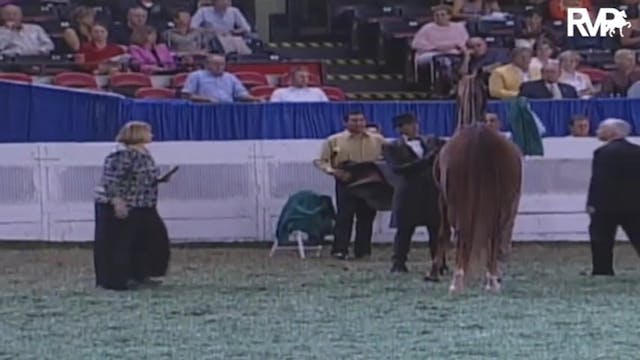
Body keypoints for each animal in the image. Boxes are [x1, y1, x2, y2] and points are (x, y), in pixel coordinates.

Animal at [430, 76, 520, 292]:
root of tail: (479, 137)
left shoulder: (442, 200)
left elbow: (443, 232)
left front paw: (435, 270)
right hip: (501, 203)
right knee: (494, 235)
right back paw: (491, 279)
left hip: (458, 204)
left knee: (464, 233)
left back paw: (461, 280)